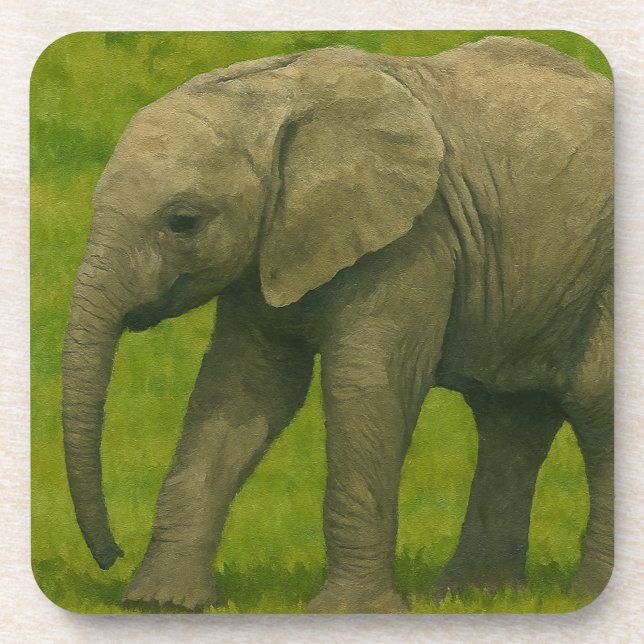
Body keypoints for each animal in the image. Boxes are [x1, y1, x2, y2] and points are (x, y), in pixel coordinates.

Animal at [62, 36, 613, 612]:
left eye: (183, 222)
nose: (111, 555)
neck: (276, 96)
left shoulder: (416, 237)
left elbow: (366, 387)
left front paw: (352, 611)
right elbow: (242, 388)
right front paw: (161, 603)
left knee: (592, 398)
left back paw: (581, 592)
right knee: (510, 415)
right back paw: (471, 596)